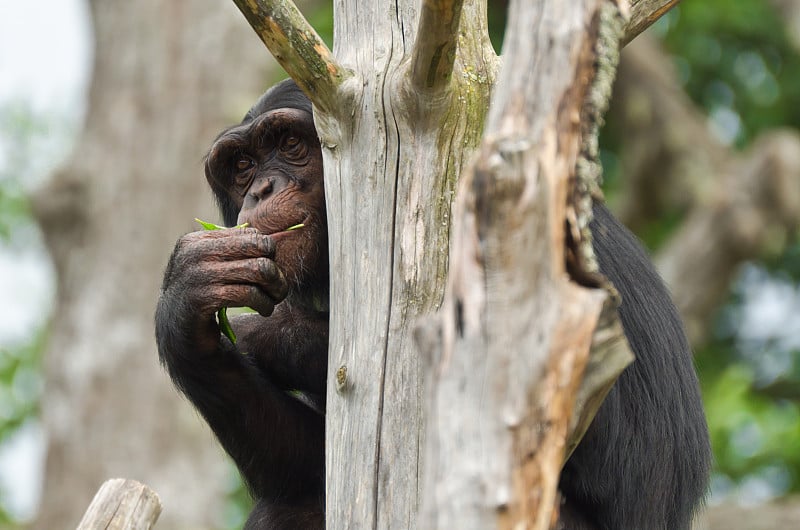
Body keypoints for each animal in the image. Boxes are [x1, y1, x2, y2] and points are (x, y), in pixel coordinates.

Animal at [153, 79, 708, 528]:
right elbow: (315, 468)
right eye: (242, 166)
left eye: (290, 144)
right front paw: (193, 290)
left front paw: (265, 335)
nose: (262, 189)